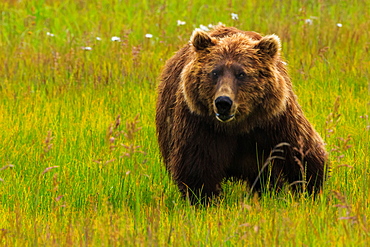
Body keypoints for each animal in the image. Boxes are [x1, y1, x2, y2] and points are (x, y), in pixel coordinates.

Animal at [155, 25, 326, 204]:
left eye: (241, 74)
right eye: (214, 72)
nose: (223, 102)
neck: (238, 125)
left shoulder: (275, 121)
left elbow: (303, 154)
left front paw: (309, 191)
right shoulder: (201, 124)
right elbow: (197, 169)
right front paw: (205, 200)